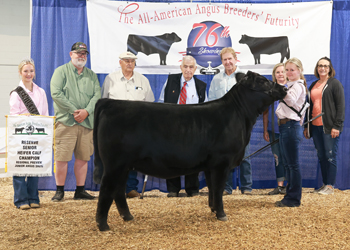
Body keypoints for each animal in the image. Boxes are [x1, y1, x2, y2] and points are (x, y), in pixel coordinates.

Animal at [93, 70, 288, 230]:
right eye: (263, 80)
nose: (283, 87)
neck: (239, 116)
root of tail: (110, 103)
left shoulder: (210, 165)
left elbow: (212, 189)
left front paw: (213, 210)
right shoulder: (221, 163)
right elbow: (218, 188)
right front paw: (222, 214)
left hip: (124, 166)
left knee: (118, 190)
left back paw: (128, 216)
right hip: (114, 164)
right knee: (106, 189)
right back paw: (103, 225)